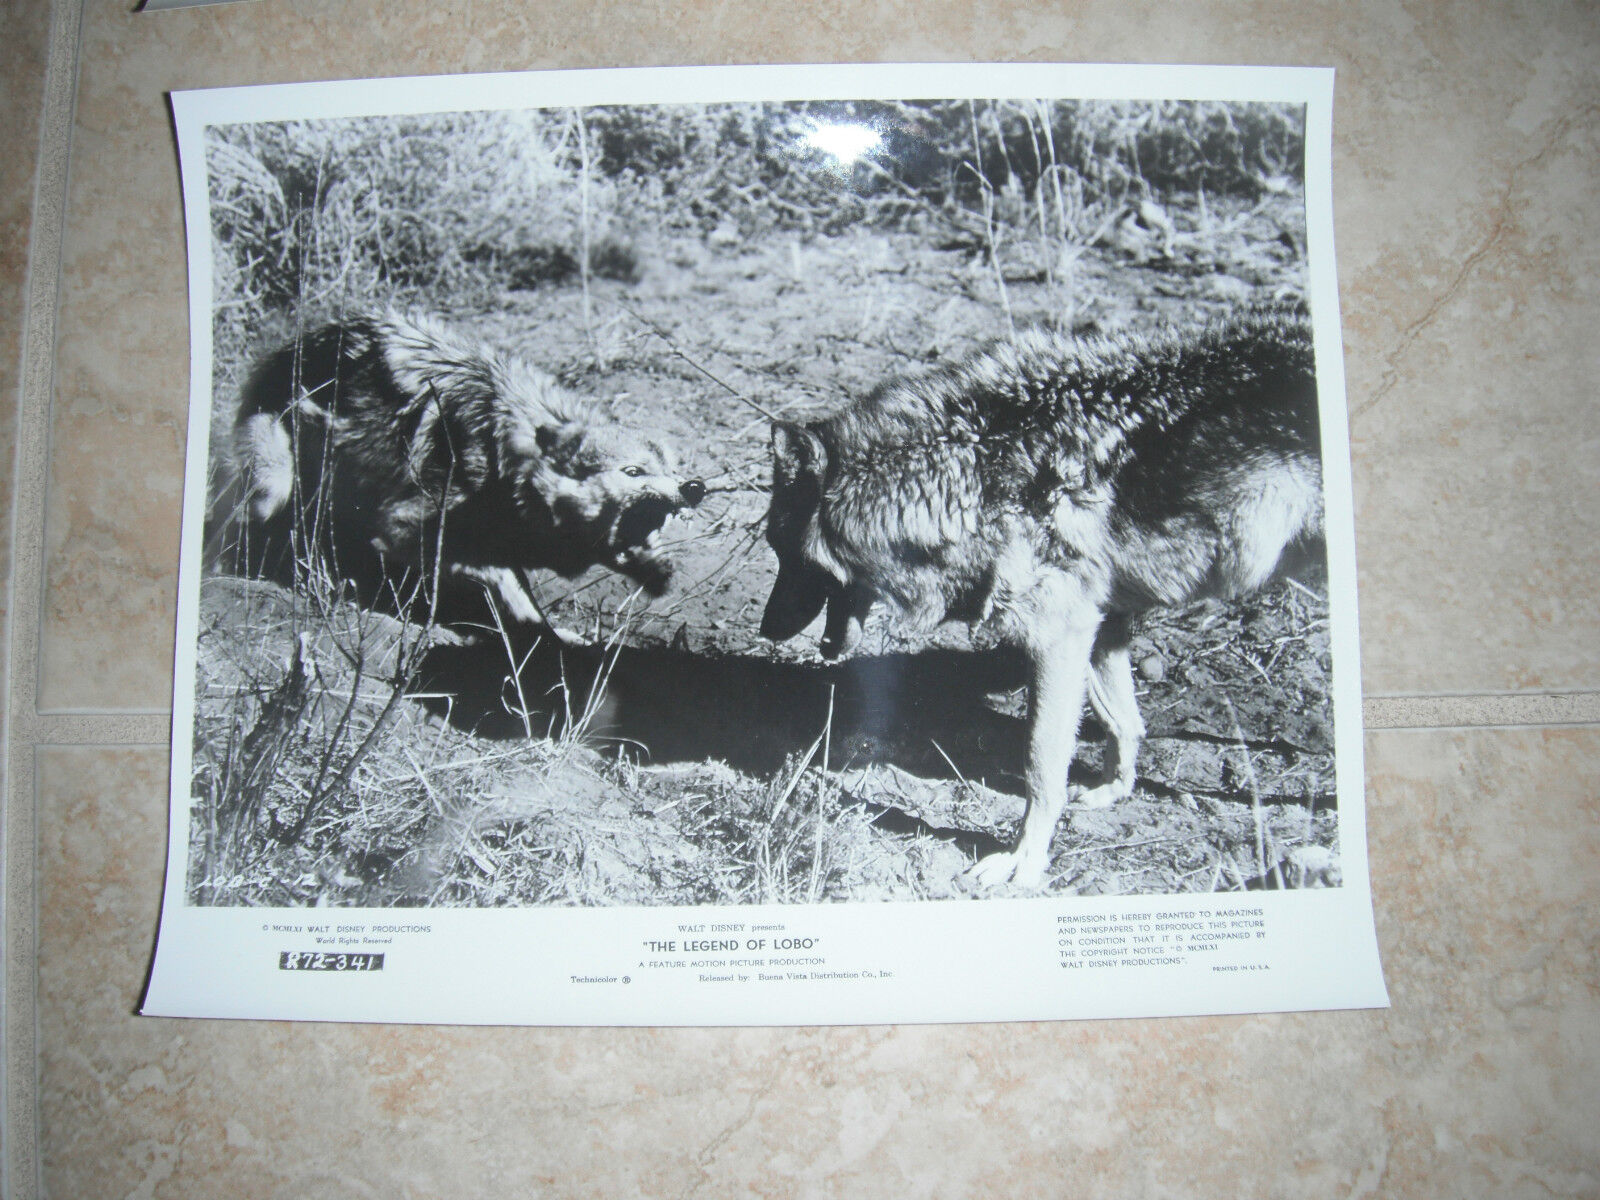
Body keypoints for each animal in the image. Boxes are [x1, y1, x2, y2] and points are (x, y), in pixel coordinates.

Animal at [227, 310, 707, 630]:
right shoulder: (401, 528)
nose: (695, 486)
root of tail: (290, 347)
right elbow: (496, 573)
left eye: (672, 465)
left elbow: (521, 593)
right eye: (633, 471)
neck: (499, 458)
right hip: (271, 488)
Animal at [761, 307, 1324, 896]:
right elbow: (1123, 723)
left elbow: (1041, 766)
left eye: (784, 553)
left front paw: (1024, 862)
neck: (976, 466)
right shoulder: (1101, 625)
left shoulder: (1059, 636)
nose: (764, 628)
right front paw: (1115, 792)